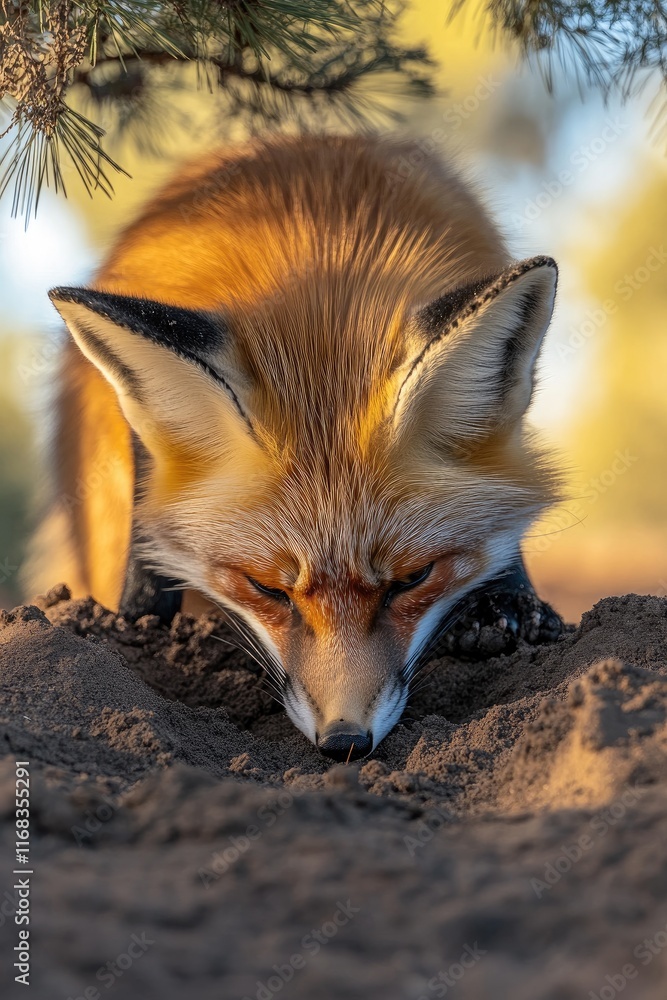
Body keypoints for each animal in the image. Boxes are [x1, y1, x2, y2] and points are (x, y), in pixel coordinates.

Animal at [28, 134, 563, 761]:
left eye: (413, 578)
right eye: (267, 588)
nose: (345, 741)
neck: (324, 253)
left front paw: (507, 605)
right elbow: (148, 505)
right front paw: (136, 622)